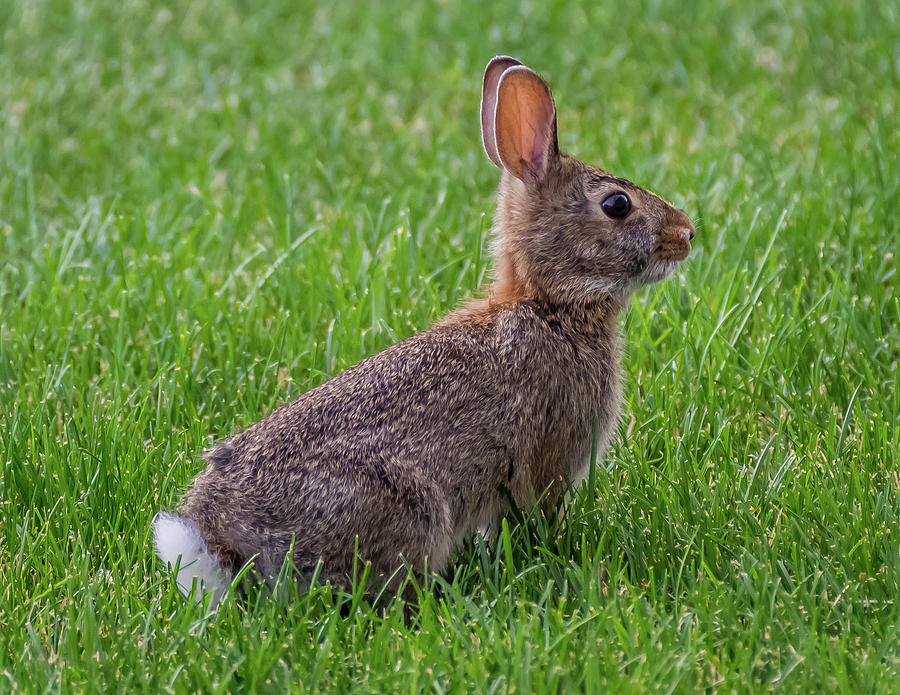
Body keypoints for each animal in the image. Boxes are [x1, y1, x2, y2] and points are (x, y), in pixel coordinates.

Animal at [151, 57, 696, 608]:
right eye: (617, 204)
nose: (687, 233)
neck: (549, 304)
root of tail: (219, 541)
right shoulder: (548, 458)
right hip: (408, 507)